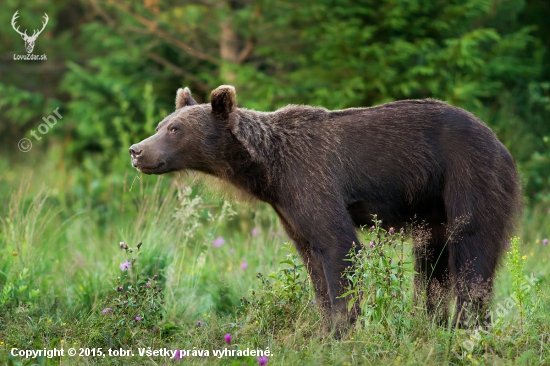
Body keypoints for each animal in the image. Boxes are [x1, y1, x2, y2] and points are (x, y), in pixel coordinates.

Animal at [130, 84, 528, 334]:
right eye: (160, 125)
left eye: (175, 129)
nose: (137, 150)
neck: (267, 171)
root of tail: (500, 142)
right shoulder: (288, 206)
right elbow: (312, 259)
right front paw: (325, 326)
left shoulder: (311, 179)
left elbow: (339, 246)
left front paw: (342, 329)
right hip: (432, 206)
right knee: (431, 262)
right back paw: (433, 323)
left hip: (470, 175)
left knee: (472, 249)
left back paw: (467, 326)